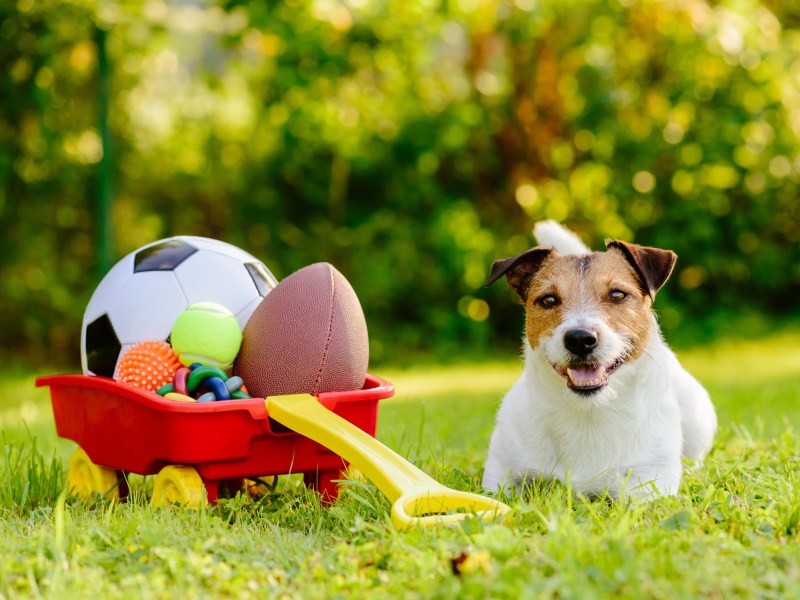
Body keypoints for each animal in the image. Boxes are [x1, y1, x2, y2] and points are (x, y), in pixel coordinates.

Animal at [482, 223, 720, 500]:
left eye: (617, 295)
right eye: (548, 300)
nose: (579, 339)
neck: (588, 412)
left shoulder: (651, 481)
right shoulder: (501, 471)